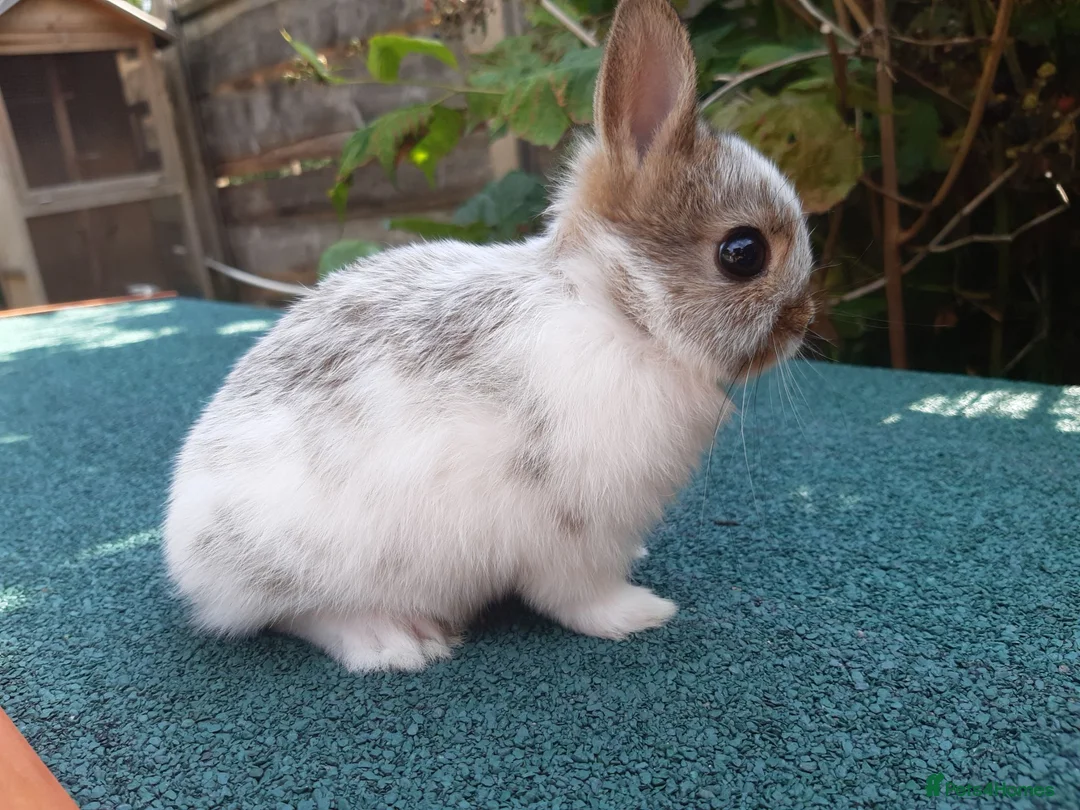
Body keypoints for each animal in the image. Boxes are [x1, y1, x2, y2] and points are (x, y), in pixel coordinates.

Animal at [163, 0, 815, 672]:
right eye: (743, 253)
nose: (804, 322)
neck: (617, 311)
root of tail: (187, 550)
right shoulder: (575, 534)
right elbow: (580, 597)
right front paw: (641, 613)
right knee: (302, 616)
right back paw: (397, 641)